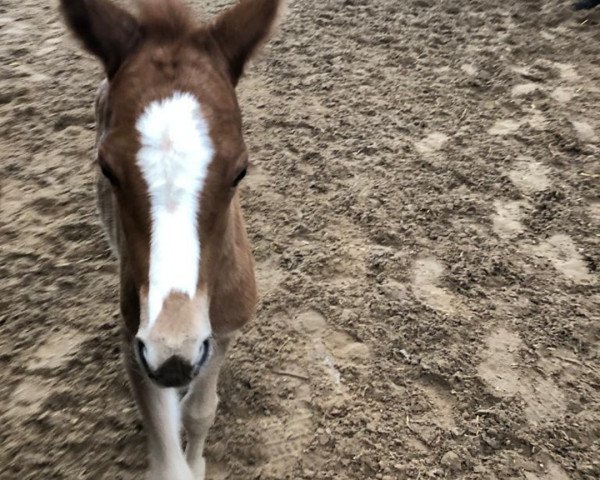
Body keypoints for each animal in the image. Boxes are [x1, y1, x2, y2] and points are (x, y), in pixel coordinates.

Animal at [59, 0, 284, 478]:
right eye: (106, 169)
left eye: (241, 170)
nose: (173, 354)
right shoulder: (137, 346)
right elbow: (167, 457)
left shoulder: (219, 334)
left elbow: (201, 411)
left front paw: (198, 461)